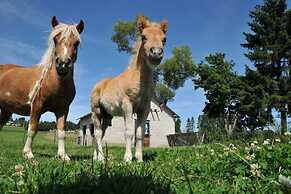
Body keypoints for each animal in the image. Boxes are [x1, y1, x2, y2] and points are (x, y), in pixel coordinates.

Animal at [0, 15, 84, 161]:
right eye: (55, 39)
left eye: (77, 42)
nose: (63, 64)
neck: (54, 84)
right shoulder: (37, 106)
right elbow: (33, 129)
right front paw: (28, 153)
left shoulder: (63, 110)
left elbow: (61, 132)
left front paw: (63, 156)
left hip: (5, 110)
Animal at [91, 15, 169, 161]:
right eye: (144, 37)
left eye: (164, 39)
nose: (156, 53)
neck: (139, 80)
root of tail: (98, 85)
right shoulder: (127, 106)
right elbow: (128, 132)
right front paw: (127, 158)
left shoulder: (144, 109)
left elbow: (139, 134)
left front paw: (139, 159)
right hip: (96, 111)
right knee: (97, 134)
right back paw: (101, 158)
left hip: (107, 116)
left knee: (101, 133)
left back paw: (95, 157)